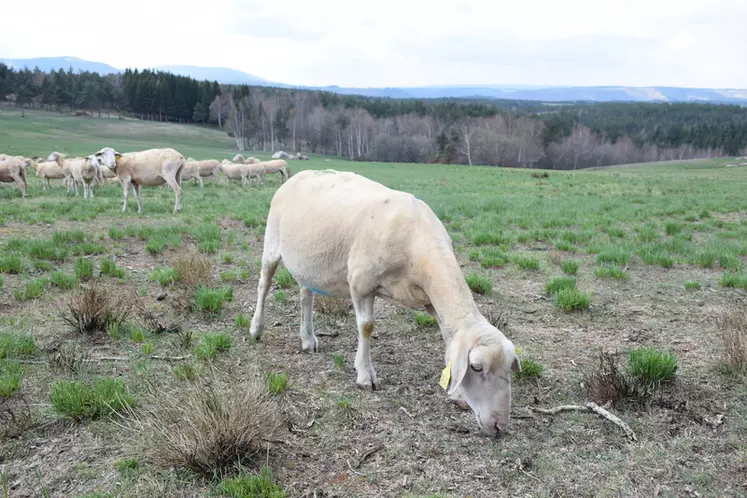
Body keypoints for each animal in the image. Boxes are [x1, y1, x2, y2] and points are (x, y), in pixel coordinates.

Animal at [248, 169, 524, 434]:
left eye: (509, 367)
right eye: (476, 367)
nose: (499, 426)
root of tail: (297, 175)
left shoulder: (429, 300)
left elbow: (448, 339)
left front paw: (456, 393)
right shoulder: (360, 282)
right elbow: (366, 326)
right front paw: (365, 375)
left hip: (307, 262)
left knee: (306, 293)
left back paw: (307, 339)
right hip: (272, 242)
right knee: (264, 284)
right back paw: (256, 329)